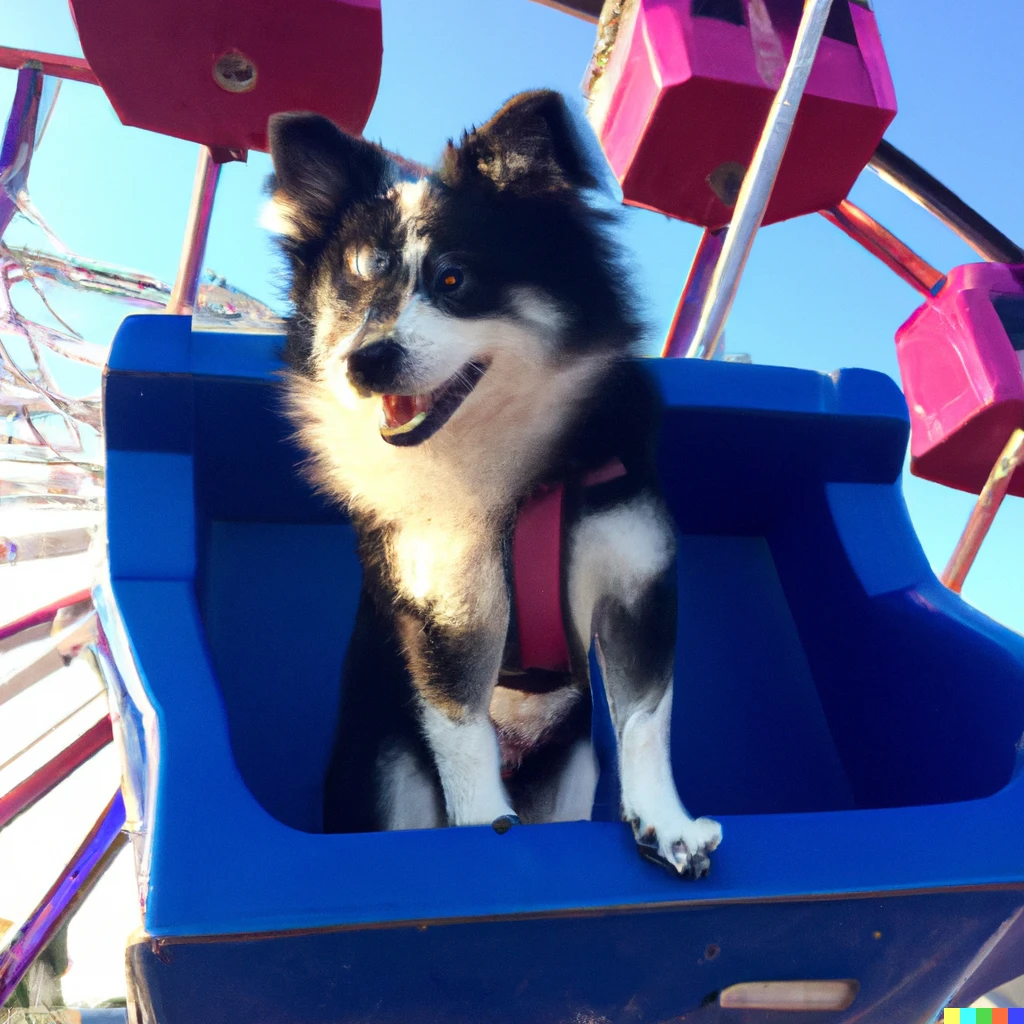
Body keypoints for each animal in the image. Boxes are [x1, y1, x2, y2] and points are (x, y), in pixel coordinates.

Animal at [268, 88, 724, 876]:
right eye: (353, 292)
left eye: (453, 280)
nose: (365, 360)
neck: (517, 473)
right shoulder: (448, 615)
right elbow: (463, 737)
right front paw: (486, 832)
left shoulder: (639, 587)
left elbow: (644, 721)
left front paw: (666, 822)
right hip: (388, 775)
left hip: (570, 771)